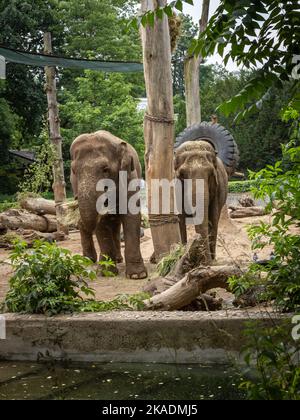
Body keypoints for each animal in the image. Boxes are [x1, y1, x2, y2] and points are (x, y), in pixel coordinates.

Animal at [69, 129, 146, 278]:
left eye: (105, 169)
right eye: (74, 171)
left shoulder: (129, 178)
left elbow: (132, 216)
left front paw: (137, 276)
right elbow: (101, 223)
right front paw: (106, 272)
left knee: (115, 223)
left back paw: (117, 259)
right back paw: (90, 259)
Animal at [173, 121, 239, 264]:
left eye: (210, 174)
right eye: (182, 174)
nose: (205, 263)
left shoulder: (218, 188)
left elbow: (213, 215)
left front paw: (210, 261)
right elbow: (181, 218)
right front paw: (184, 255)